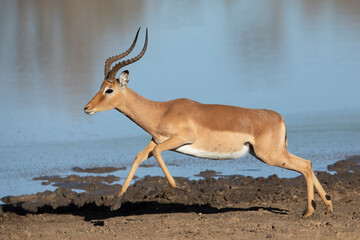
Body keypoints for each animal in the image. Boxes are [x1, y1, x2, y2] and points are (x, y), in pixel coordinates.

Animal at [83, 28, 332, 218]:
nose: (87, 108)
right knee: (308, 163)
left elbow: (156, 154)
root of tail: (278, 117)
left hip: (270, 155)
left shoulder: (180, 139)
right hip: (269, 153)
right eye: (100, 86)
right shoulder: (155, 140)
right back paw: (327, 206)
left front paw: (179, 186)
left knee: (304, 166)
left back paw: (309, 212)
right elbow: (139, 157)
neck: (162, 111)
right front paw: (117, 200)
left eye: (109, 90)